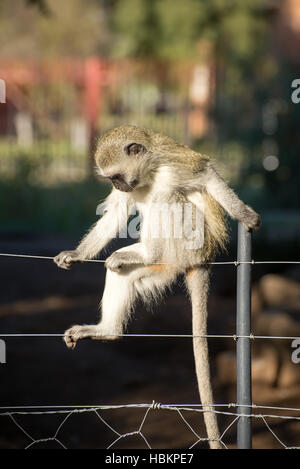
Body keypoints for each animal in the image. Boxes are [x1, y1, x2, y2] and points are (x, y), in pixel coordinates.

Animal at [54, 125, 260, 450]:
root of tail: (203, 259)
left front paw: (245, 214)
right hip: (167, 266)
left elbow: (206, 173)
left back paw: (146, 252)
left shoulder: (173, 167)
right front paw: (76, 254)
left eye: (116, 176)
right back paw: (108, 328)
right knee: (123, 274)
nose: (119, 185)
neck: (147, 172)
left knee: (166, 197)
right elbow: (116, 213)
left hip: (190, 243)